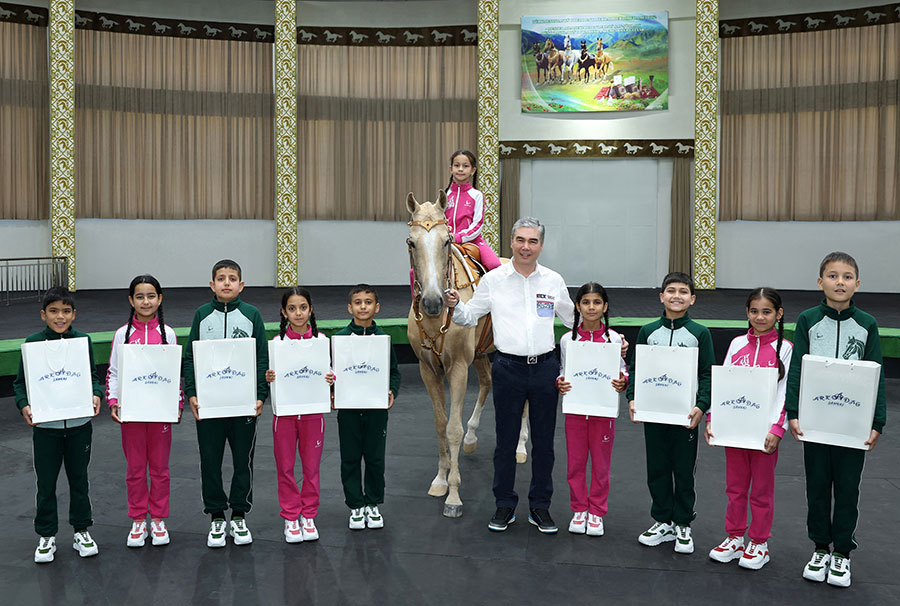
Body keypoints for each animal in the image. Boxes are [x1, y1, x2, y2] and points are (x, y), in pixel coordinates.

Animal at [408, 194, 528, 516]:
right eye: (411, 243)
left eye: (447, 241)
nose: (433, 302)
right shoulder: (428, 370)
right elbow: (440, 425)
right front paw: (440, 479)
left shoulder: (459, 368)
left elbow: (452, 429)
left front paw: (453, 495)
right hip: (481, 353)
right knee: (487, 383)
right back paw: (473, 438)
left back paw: (521, 447)